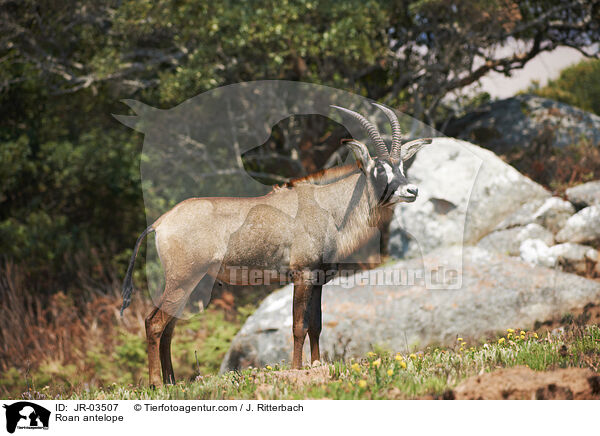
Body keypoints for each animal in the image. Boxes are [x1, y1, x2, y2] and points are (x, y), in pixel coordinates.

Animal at [122, 103, 432, 384]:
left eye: (400, 165)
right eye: (379, 169)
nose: (411, 190)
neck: (329, 207)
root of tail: (160, 223)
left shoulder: (319, 278)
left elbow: (316, 325)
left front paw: (316, 365)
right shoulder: (302, 274)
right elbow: (298, 325)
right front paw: (297, 369)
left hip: (190, 283)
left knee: (169, 328)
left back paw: (172, 382)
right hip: (182, 279)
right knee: (154, 323)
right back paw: (155, 383)